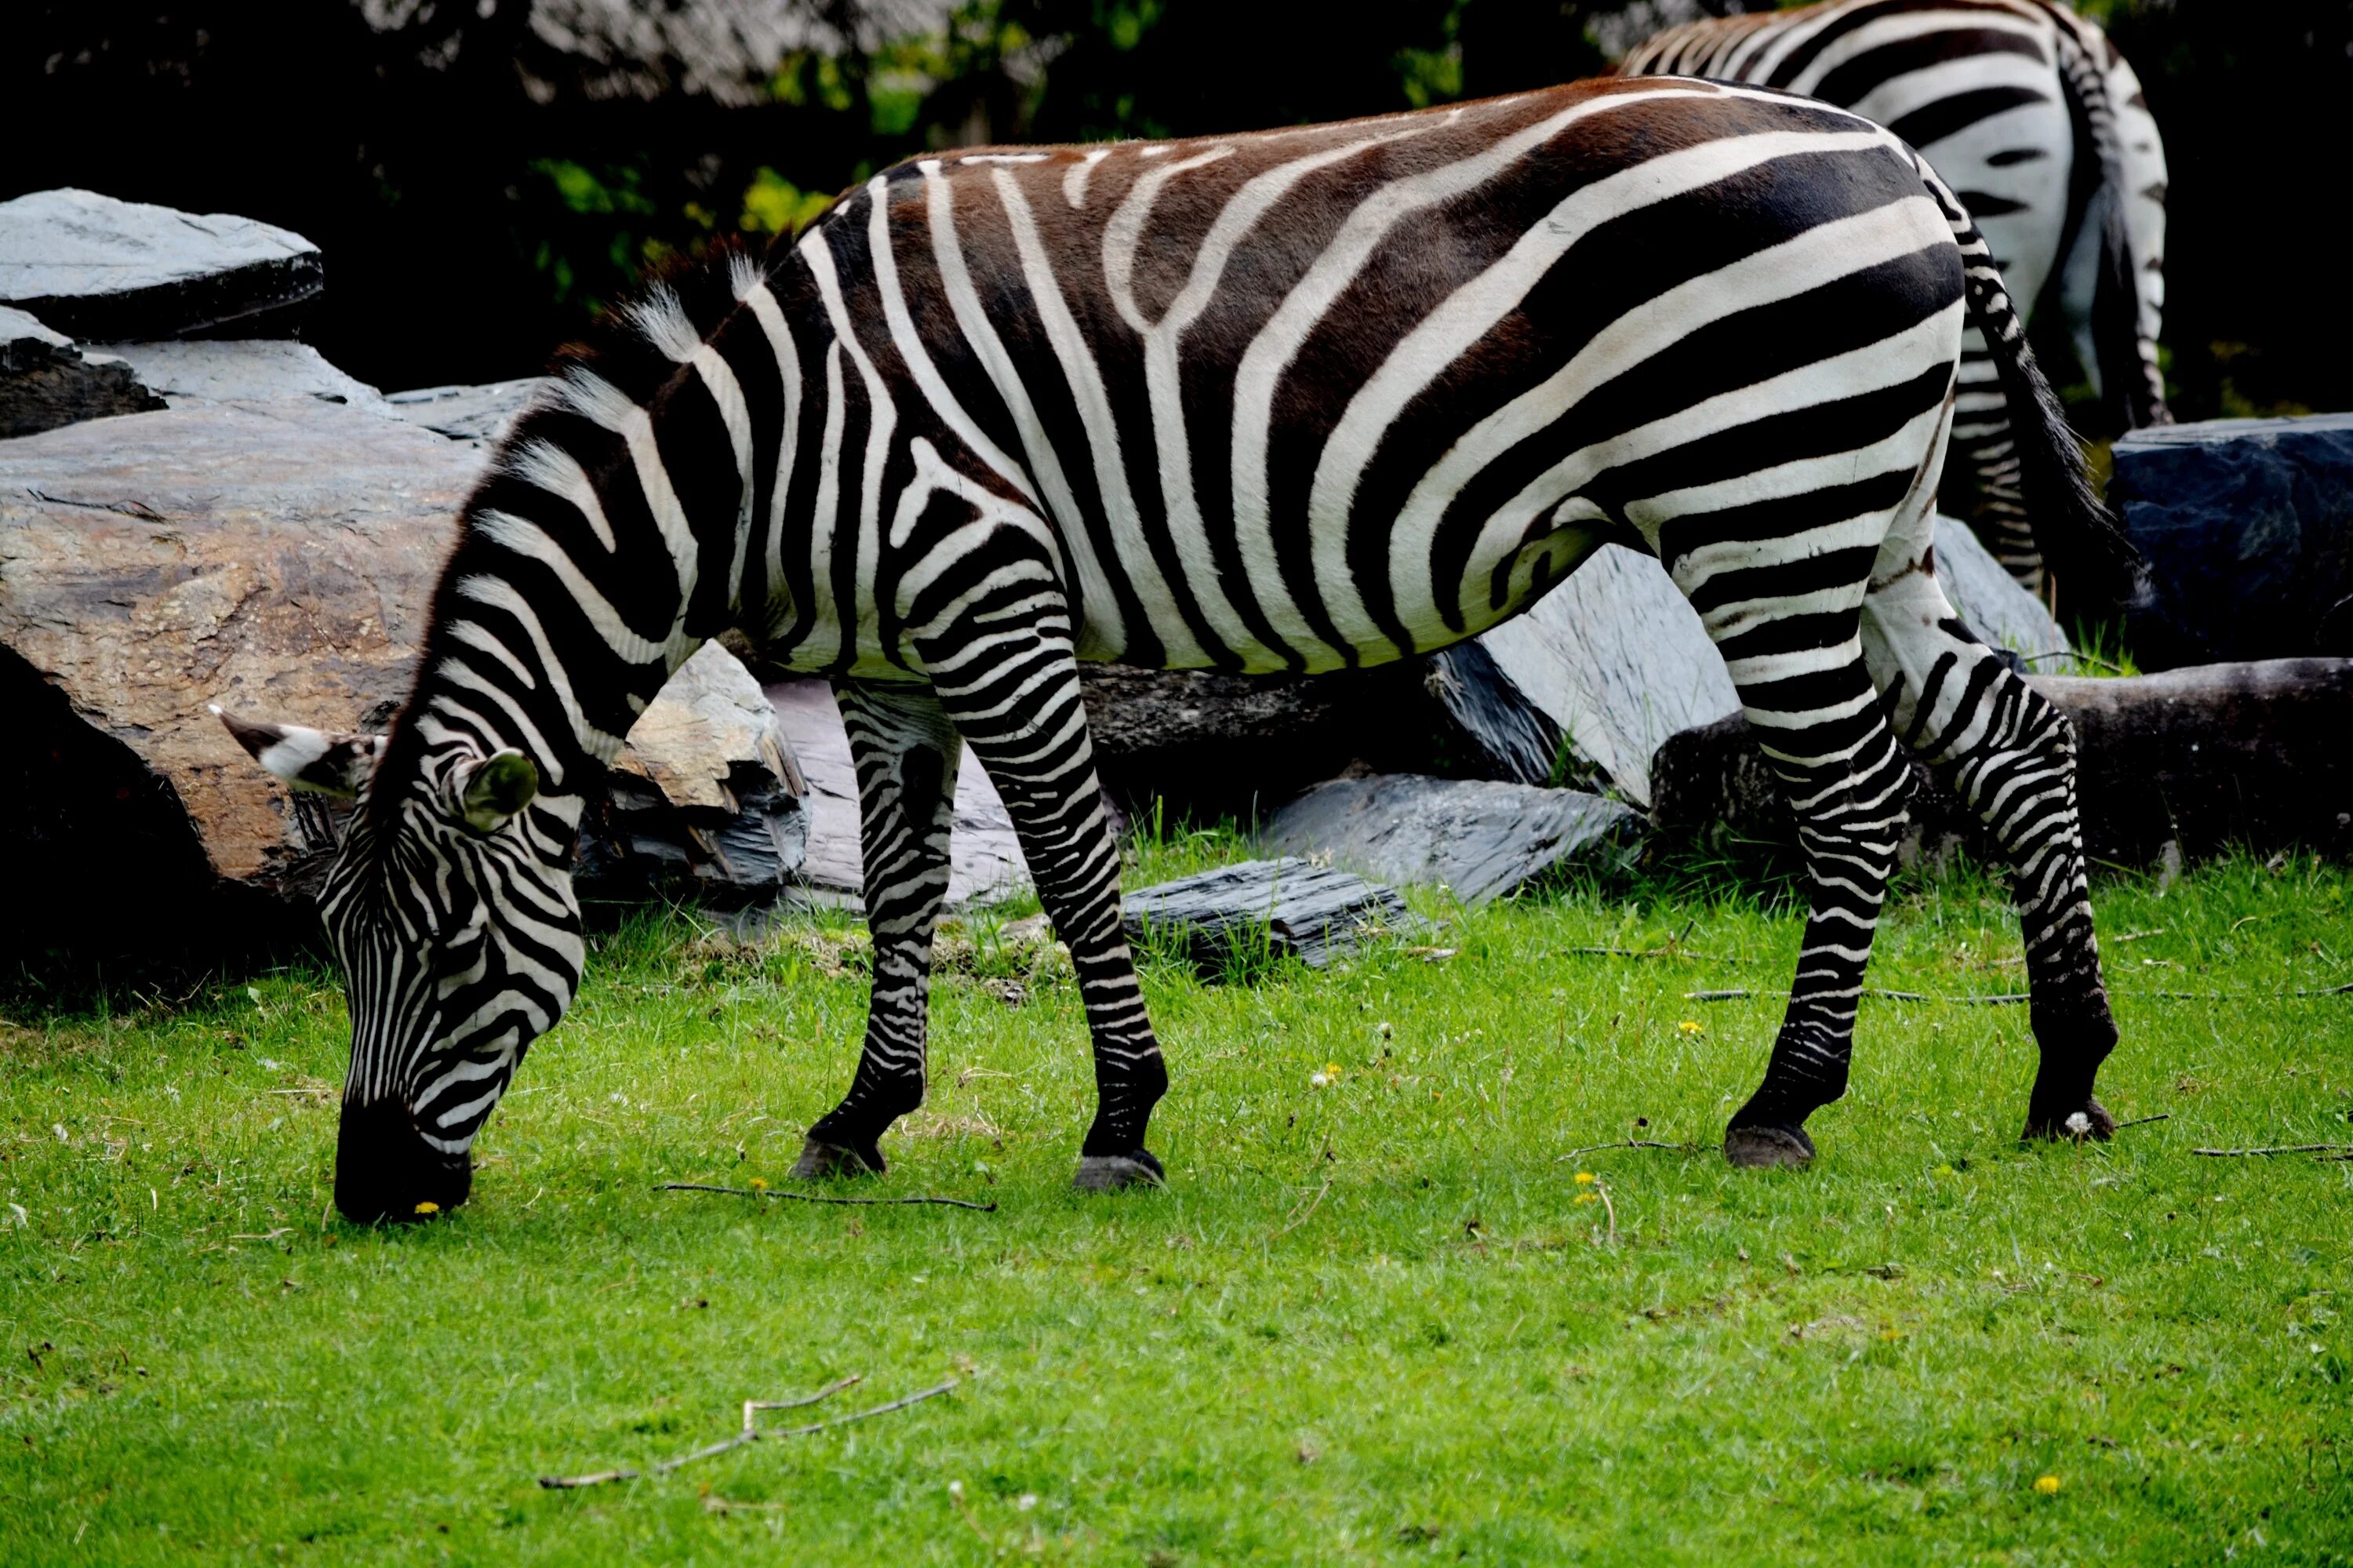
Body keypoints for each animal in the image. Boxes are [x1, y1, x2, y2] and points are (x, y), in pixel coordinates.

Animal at [224, 76, 2137, 1224]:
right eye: (335, 953)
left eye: (456, 954)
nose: (367, 1189)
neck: (769, 448)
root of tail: (1894, 159)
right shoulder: (891, 666)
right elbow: (903, 893)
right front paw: (862, 1117)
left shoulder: (990, 594)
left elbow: (1074, 869)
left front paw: (1123, 1121)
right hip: (1868, 519)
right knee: (2019, 741)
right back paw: (2067, 1074)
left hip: (1767, 511)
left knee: (1859, 801)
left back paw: (1787, 1096)